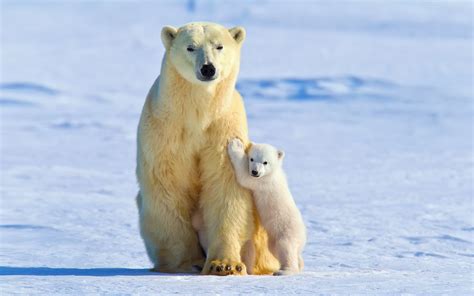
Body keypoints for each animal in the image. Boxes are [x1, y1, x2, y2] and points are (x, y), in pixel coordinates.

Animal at [135, 22, 280, 276]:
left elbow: (225, 187)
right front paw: (187, 262)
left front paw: (224, 264)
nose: (207, 68)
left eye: (219, 46)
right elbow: (168, 186)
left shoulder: (223, 128)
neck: (198, 113)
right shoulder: (165, 131)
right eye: (190, 47)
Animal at [227, 139, 308, 276]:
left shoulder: (263, 182)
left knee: (286, 248)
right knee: (277, 249)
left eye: (265, 162)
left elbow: (245, 177)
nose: (255, 172)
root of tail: (303, 236)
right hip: (274, 239)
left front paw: (236, 145)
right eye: (252, 159)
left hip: (286, 231)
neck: (272, 173)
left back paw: (284, 271)